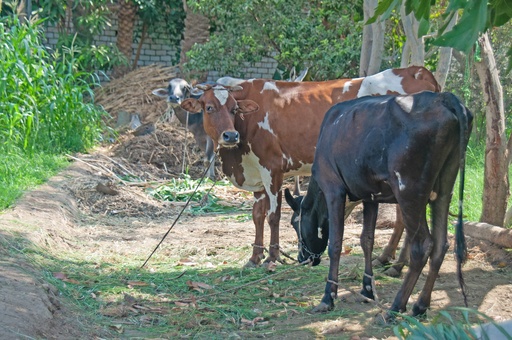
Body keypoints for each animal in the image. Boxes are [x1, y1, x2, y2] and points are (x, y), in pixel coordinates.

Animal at [182, 65, 442, 266]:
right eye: (209, 108)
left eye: (234, 108)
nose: (230, 136)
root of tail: (416, 71)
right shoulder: (256, 173)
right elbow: (257, 216)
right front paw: (255, 257)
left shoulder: (273, 169)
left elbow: (273, 216)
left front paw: (272, 258)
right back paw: (392, 259)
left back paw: (393, 261)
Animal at [284, 91, 472, 322]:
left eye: (295, 224)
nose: (303, 258)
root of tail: (443, 97)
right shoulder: (370, 197)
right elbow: (367, 240)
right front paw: (367, 290)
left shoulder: (333, 189)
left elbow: (335, 244)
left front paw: (328, 297)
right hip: (444, 188)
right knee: (440, 244)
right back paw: (420, 306)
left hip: (409, 192)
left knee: (422, 246)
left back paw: (396, 307)